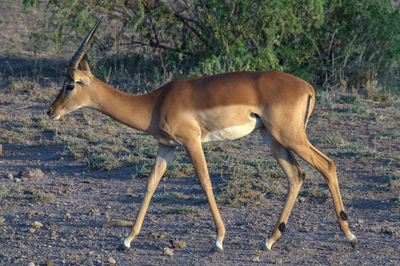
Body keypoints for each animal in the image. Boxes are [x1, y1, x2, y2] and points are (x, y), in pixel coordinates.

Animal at [47, 21, 360, 252]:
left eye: (69, 85)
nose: (50, 111)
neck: (155, 102)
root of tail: (308, 87)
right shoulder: (166, 146)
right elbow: (150, 184)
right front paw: (126, 239)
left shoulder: (191, 142)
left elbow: (205, 182)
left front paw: (219, 240)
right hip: (274, 140)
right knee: (297, 175)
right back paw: (270, 240)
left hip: (291, 136)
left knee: (327, 164)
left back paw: (350, 236)